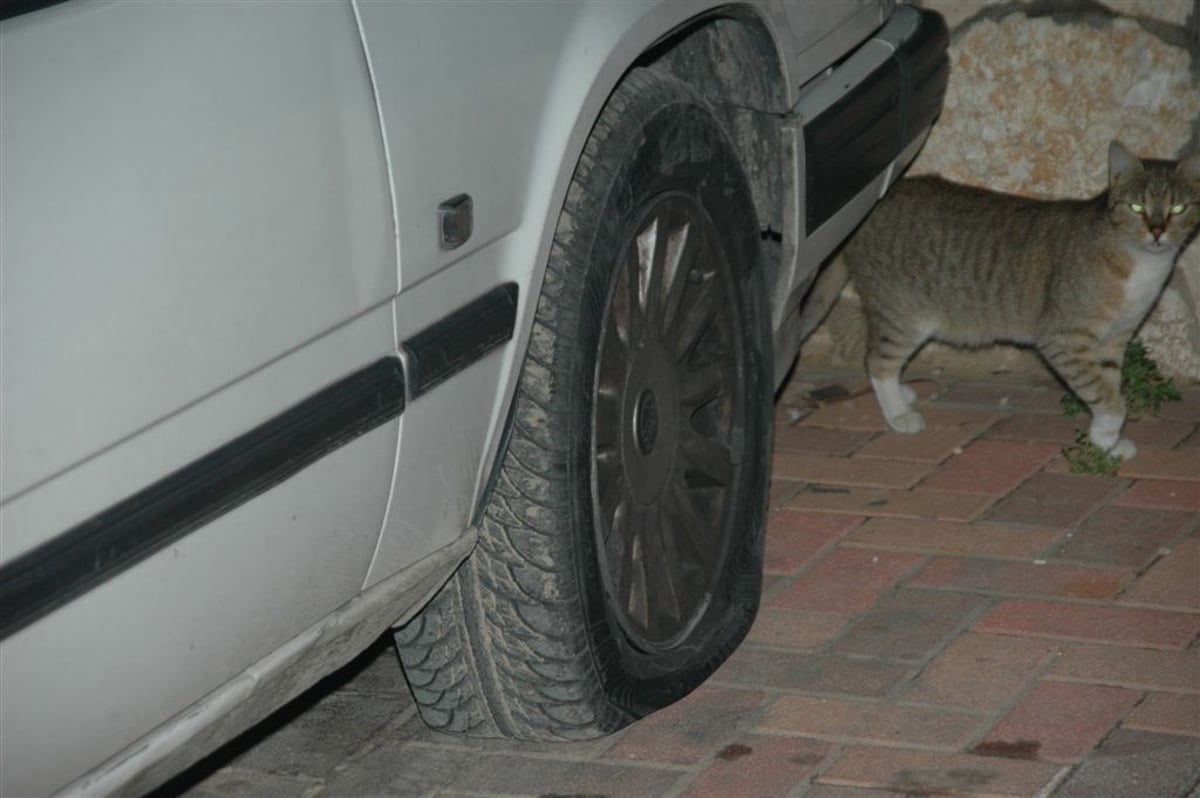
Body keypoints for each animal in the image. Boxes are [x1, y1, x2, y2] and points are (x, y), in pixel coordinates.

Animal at [796, 139, 1200, 458]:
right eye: (1137, 208)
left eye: (1178, 209)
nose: (1158, 231)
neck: (1142, 264)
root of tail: (869, 208)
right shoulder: (1064, 340)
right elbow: (1106, 395)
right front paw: (1107, 433)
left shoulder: (1115, 339)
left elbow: (1109, 386)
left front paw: (1108, 442)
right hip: (903, 316)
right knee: (878, 361)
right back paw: (898, 414)